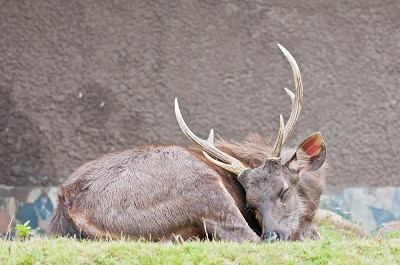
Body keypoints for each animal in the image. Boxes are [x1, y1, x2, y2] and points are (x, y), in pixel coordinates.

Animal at [49, 43, 328, 241]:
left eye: (284, 190)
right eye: (250, 203)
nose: (273, 235)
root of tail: (67, 205)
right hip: (204, 189)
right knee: (244, 237)